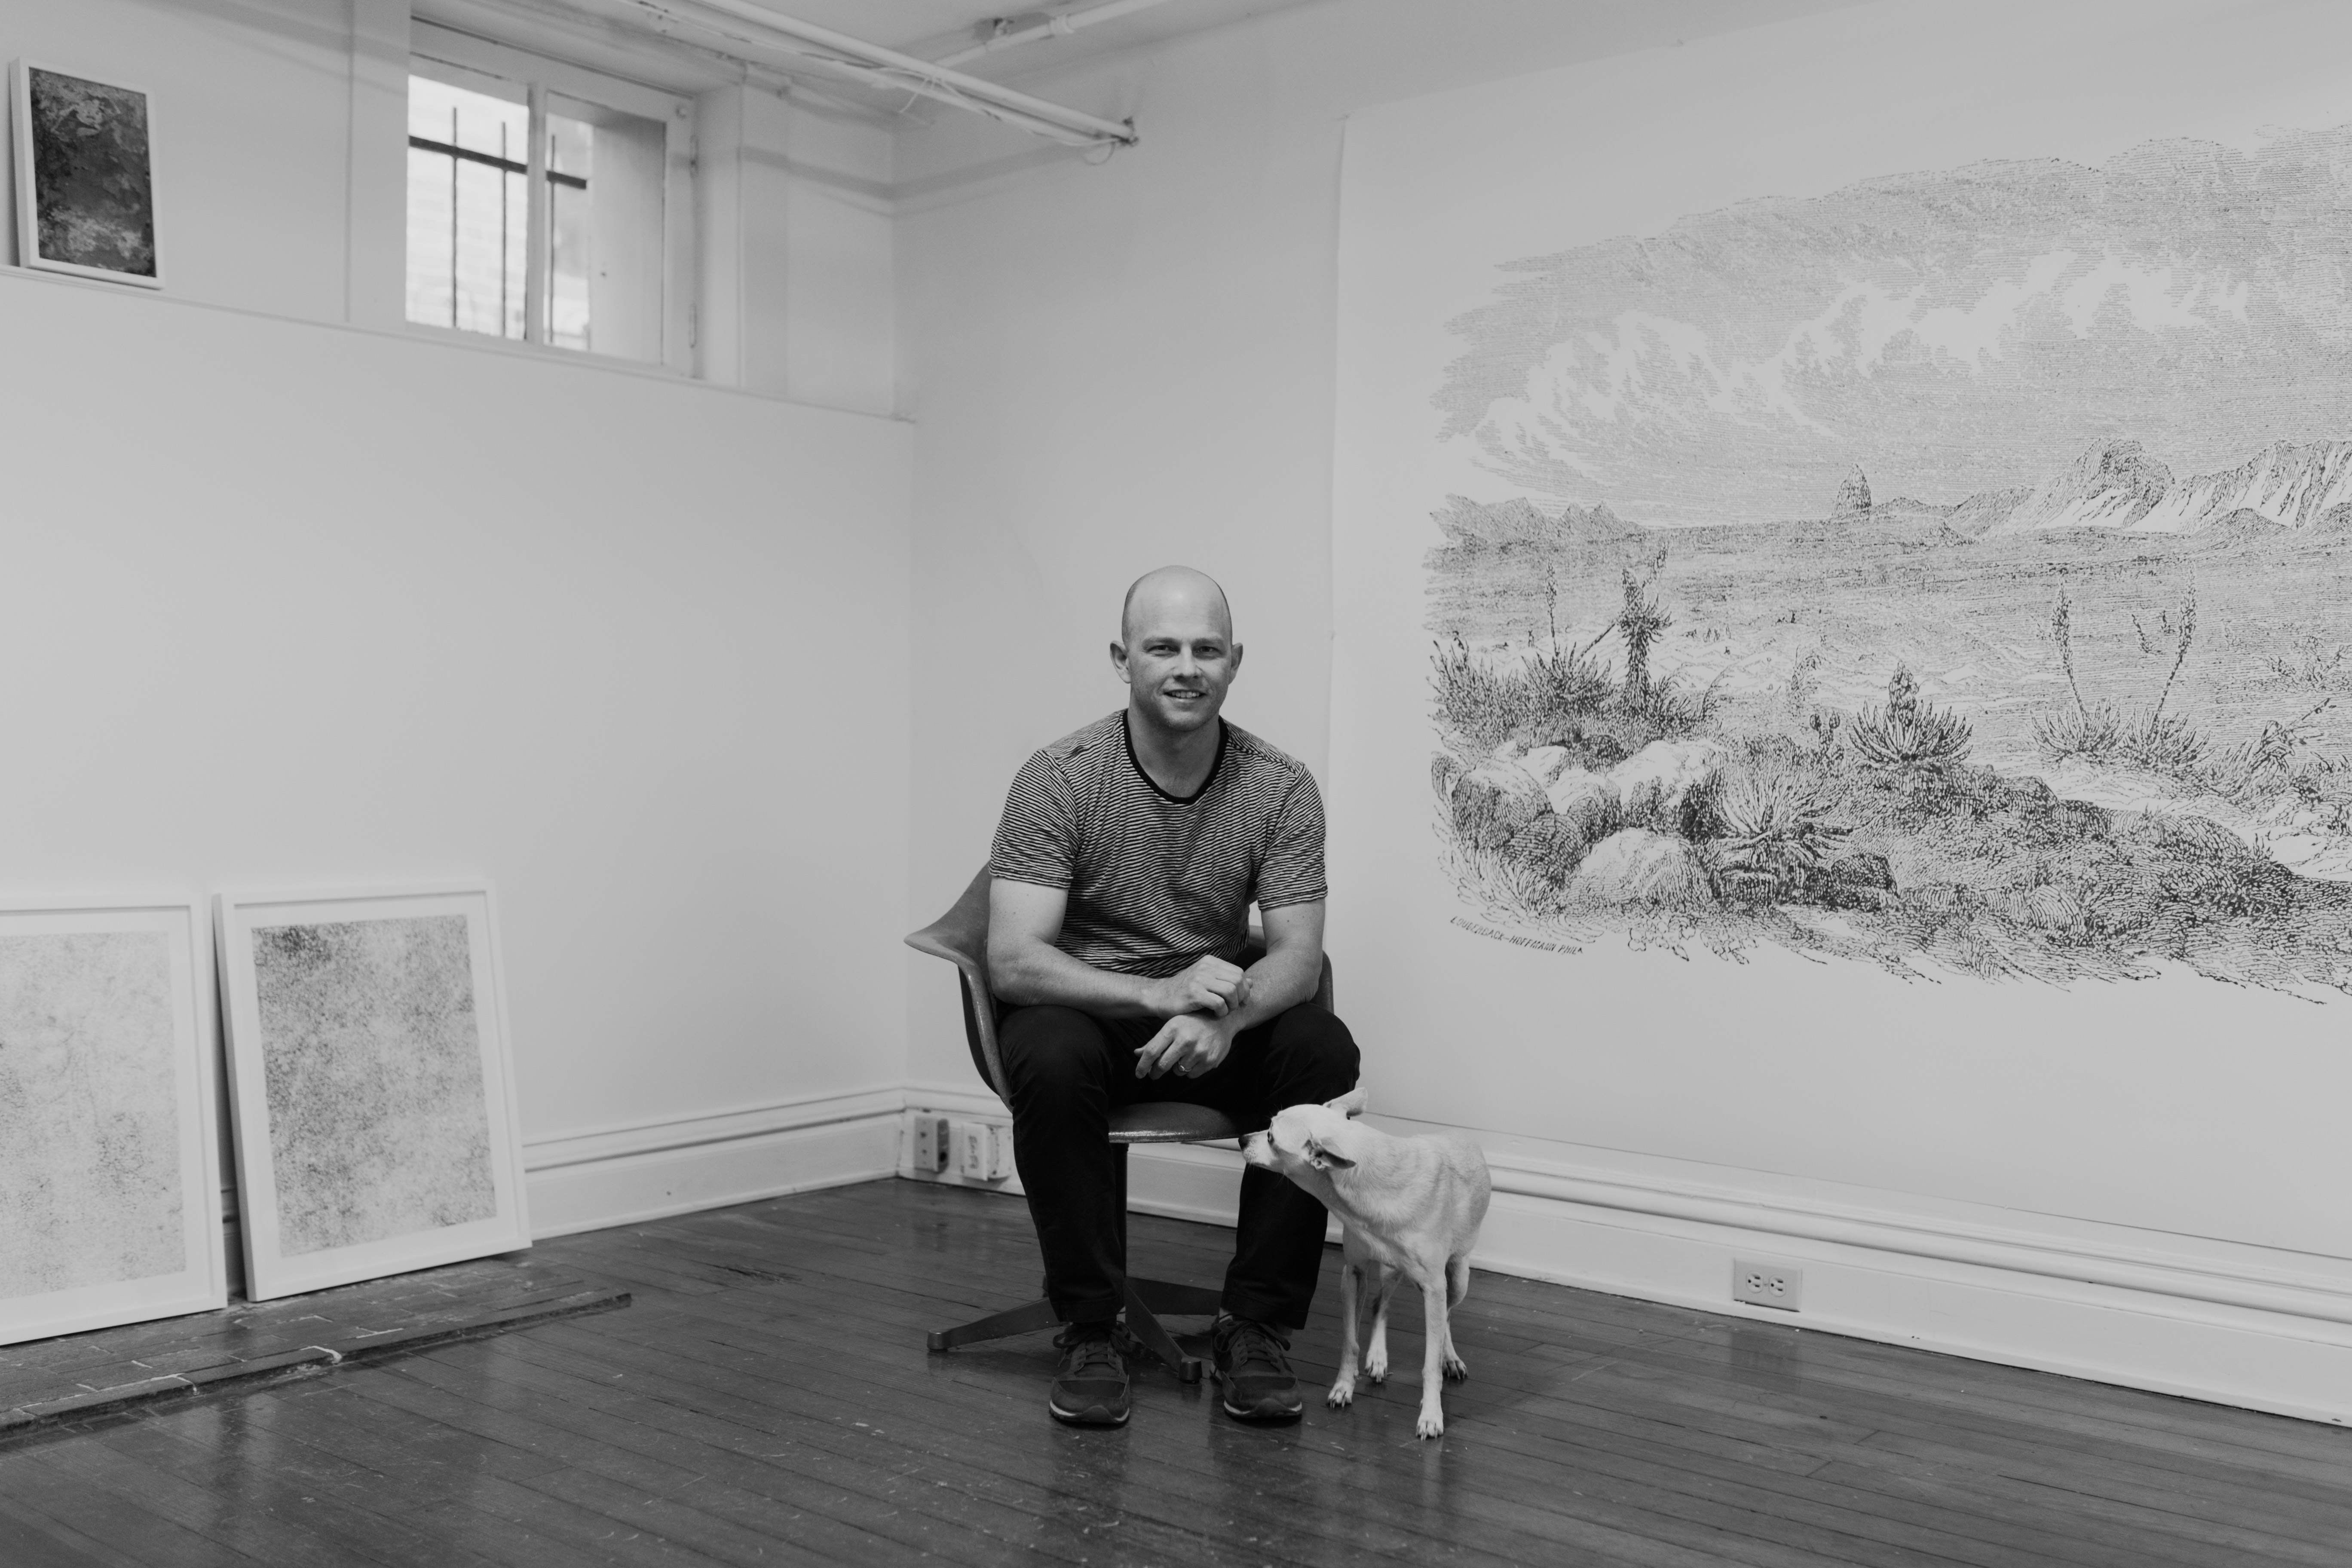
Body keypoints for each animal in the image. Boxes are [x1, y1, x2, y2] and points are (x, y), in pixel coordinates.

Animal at [1251, 1090, 1486, 1439]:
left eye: (1271, 1138)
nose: (1242, 1139)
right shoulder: (1354, 1274)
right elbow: (1350, 1342)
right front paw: (1344, 1388)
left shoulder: (1434, 1287)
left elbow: (1429, 1363)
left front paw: (1432, 1415)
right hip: (1392, 1270)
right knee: (1381, 1302)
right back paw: (1378, 1358)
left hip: (1457, 1279)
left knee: (1445, 1314)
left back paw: (1450, 1357)